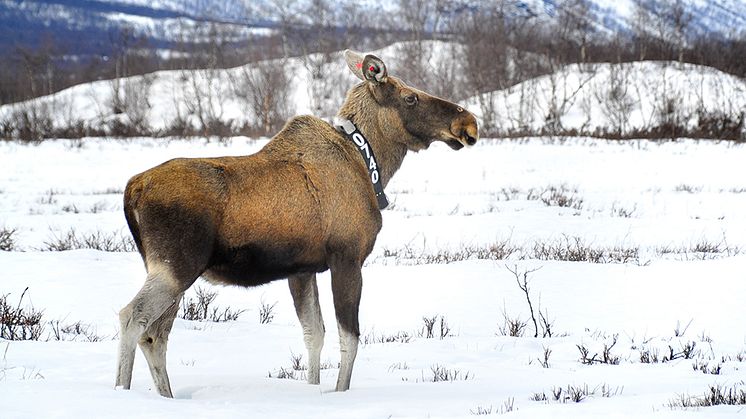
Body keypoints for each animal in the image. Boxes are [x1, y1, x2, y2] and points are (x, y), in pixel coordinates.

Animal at [115, 49, 476, 398]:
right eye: (410, 97)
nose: (468, 122)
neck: (369, 164)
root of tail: (132, 188)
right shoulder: (347, 257)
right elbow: (350, 337)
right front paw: (340, 394)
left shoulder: (302, 270)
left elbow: (314, 333)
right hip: (176, 267)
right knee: (133, 317)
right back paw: (122, 391)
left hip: (170, 271)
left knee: (156, 335)